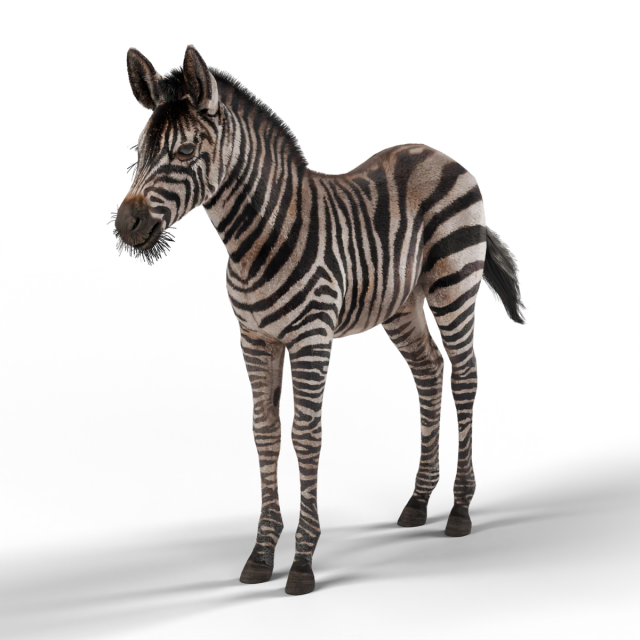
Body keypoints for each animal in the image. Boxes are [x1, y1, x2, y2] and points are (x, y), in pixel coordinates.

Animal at [112, 44, 528, 595]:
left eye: (184, 153)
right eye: (140, 150)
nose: (125, 223)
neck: (256, 240)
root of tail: (439, 154)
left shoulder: (312, 336)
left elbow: (306, 436)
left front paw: (302, 561)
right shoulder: (254, 338)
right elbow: (264, 432)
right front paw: (262, 553)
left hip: (454, 285)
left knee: (463, 376)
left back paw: (459, 508)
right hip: (401, 304)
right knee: (430, 372)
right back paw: (419, 500)